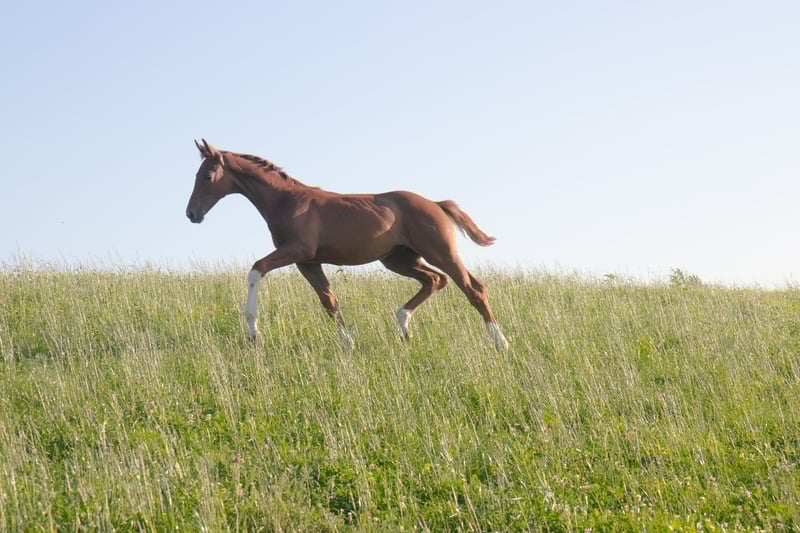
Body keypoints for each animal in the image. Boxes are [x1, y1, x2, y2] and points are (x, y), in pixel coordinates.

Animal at [185, 139, 509, 351]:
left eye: (207, 175)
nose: (192, 214)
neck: (287, 201)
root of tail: (436, 204)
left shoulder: (297, 252)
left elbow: (256, 269)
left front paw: (253, 331)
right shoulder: (308, 262)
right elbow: (329, 301)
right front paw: (348, 343)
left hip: (440, 252)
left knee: (472, 288)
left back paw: (500, 342)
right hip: (399, 259)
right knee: (434, 280)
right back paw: (403, 325)